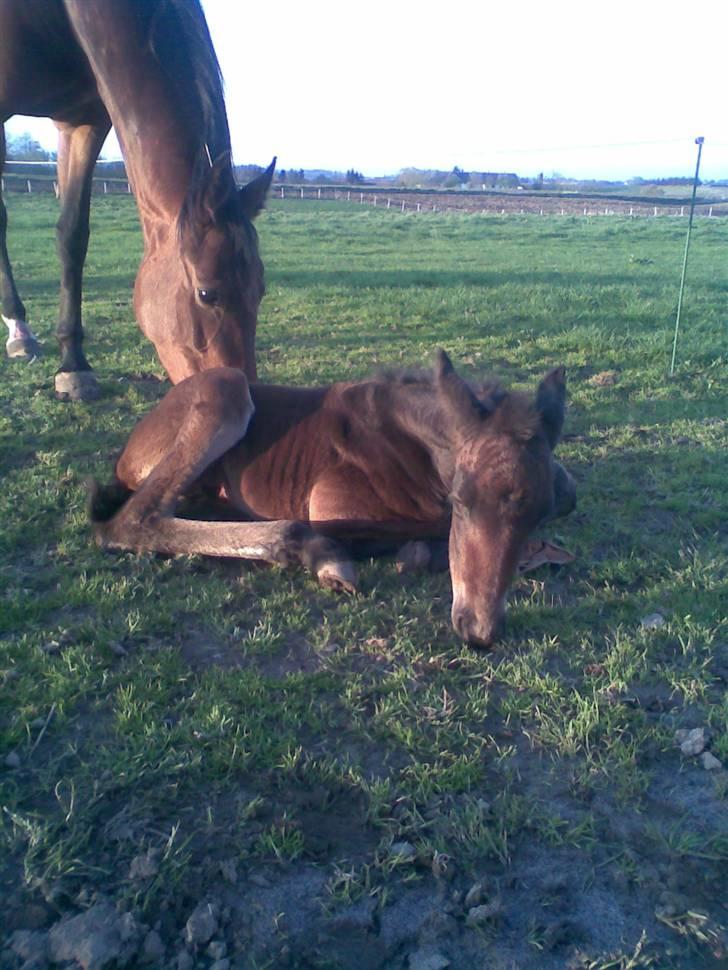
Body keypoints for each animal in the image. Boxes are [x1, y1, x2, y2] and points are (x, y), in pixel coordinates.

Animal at [0, 0, 272, 398]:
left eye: (260, 290)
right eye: (207, 294)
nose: (241, 394)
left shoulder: (83, 121)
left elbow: (72, 235)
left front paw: (73, 364)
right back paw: (17, 326)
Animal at [91, 352, 576, 648]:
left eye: (540, 513)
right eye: (461, 500)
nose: (480, 629)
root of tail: (129, 449)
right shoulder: (329, 504)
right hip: (225, 388)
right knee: (133, 518)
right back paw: (319, 553)